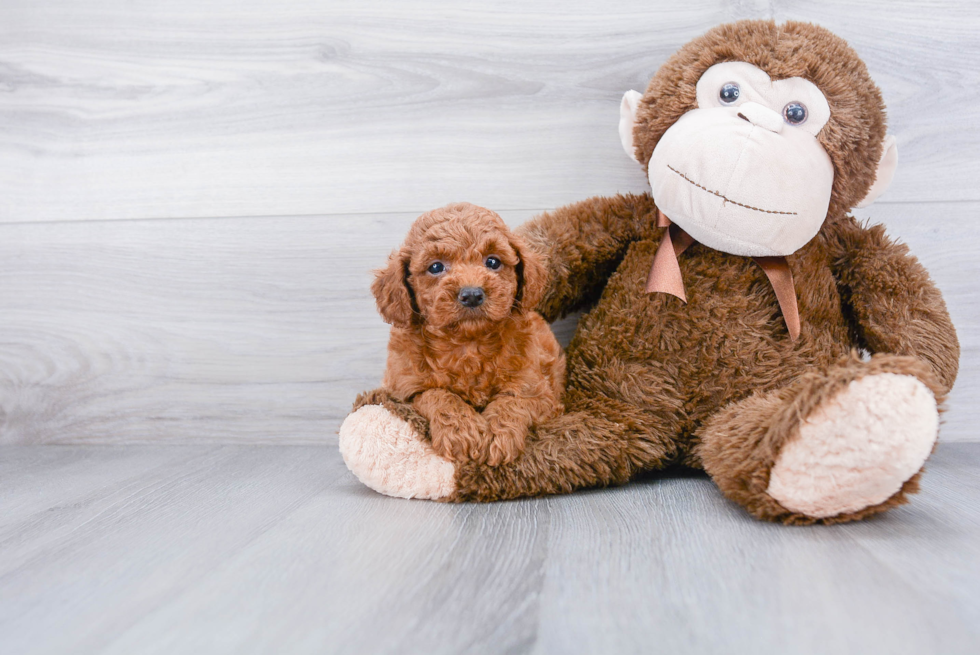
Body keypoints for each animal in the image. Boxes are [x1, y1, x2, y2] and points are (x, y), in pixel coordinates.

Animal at [370, 202, 568, 464]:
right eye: (436, 267)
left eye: (493, 262)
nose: (472, 294)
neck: (468, 345)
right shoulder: (403, 391)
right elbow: (437, 394)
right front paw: (461, 431)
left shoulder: (541, 394)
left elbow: (513, 401)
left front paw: (496, 434)